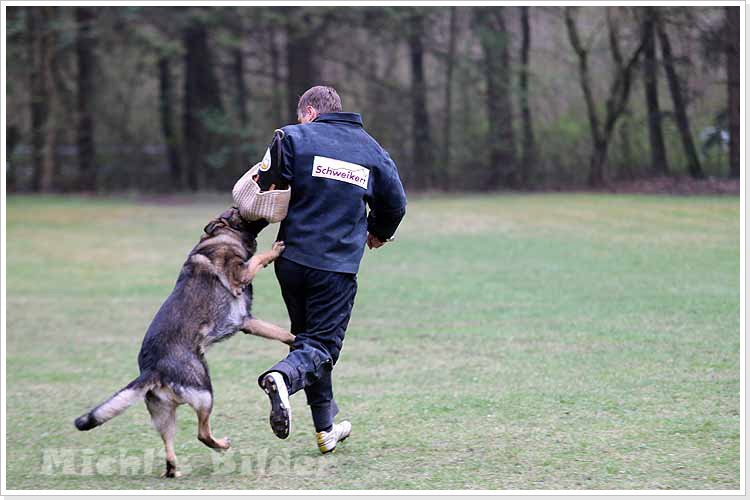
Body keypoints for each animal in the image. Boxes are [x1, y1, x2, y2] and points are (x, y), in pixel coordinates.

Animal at [74, 207, 294, 478]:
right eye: (236, 211)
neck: (221, 237)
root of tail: (153, 370)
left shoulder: (247, 322)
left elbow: (281, 332)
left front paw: (297, 340)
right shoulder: (239, 274)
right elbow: (258, 259)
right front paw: (275, 250)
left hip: (165, 417)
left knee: (169, 450)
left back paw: (175, 470)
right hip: (205, 392)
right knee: (202, 433)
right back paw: (222, 445)